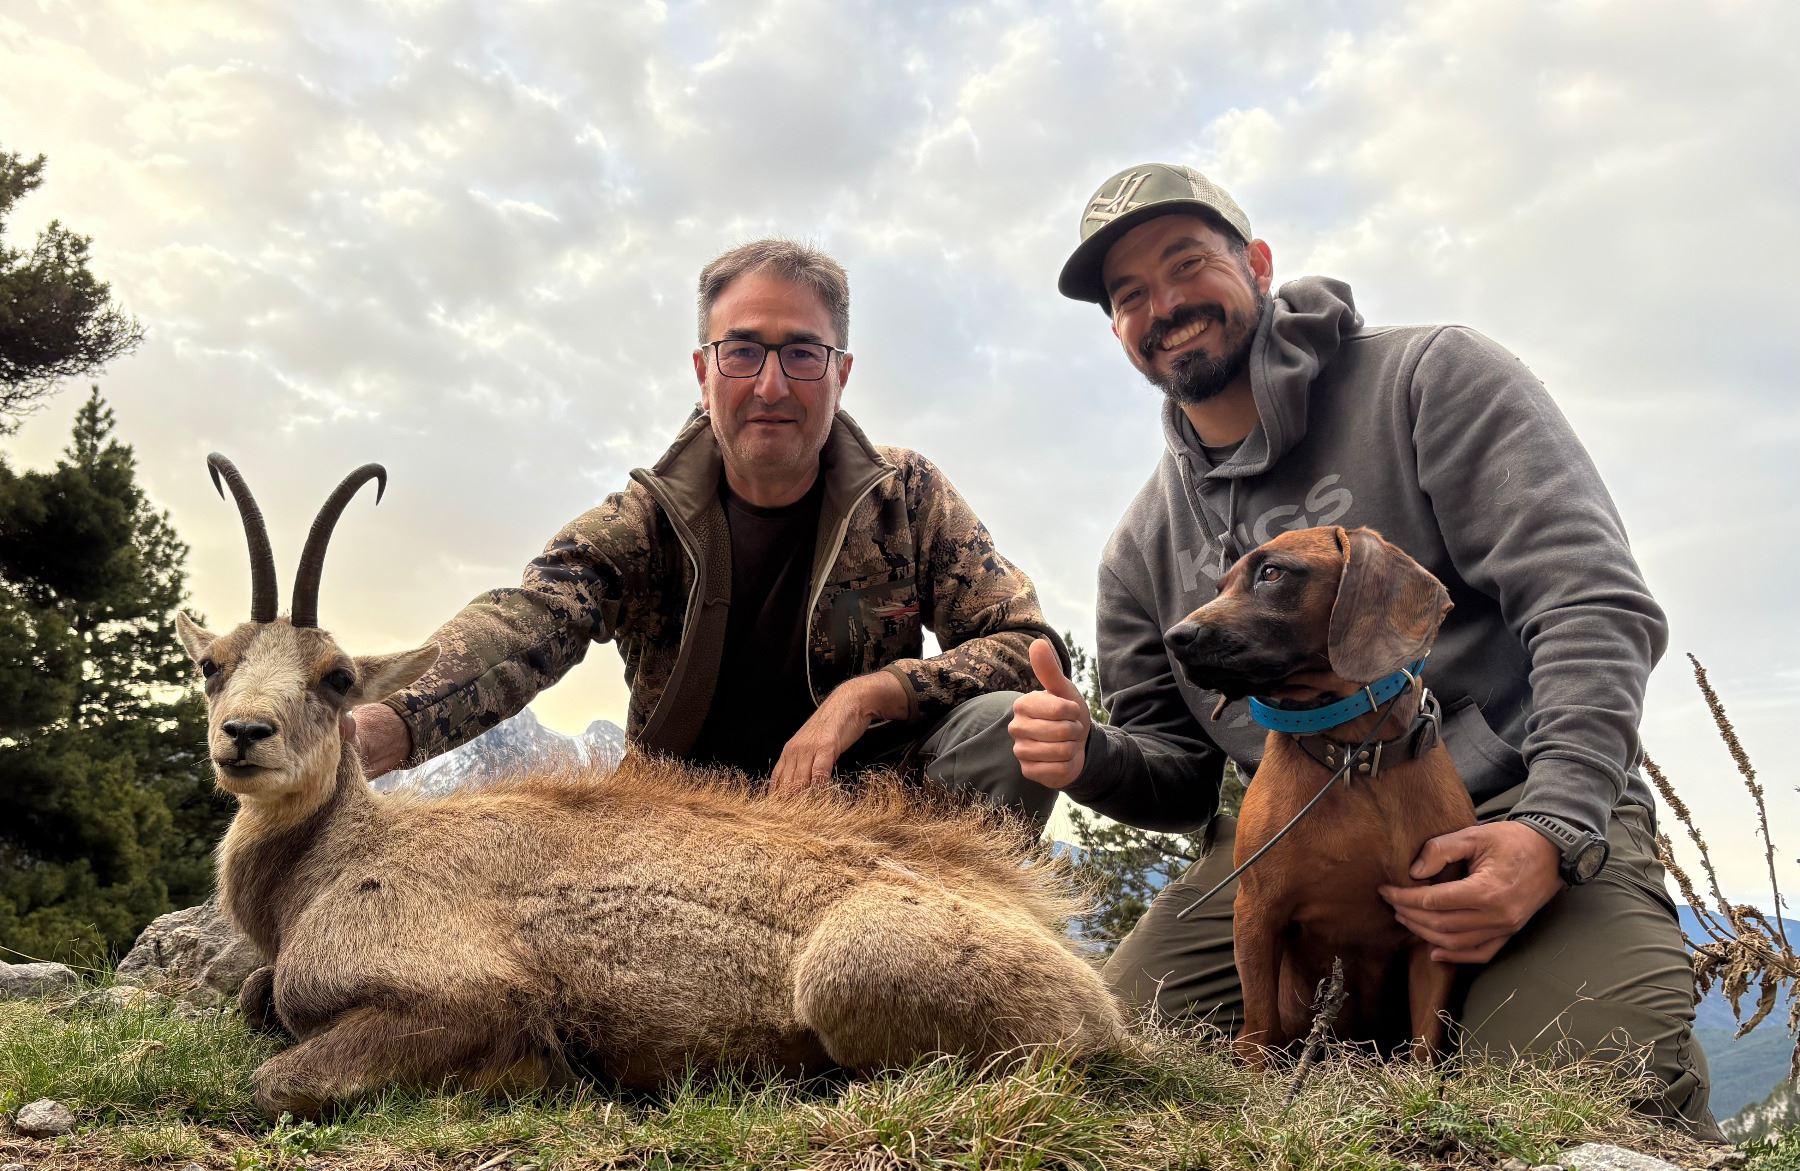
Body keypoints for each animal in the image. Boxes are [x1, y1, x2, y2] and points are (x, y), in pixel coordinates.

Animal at [1162, 525, 1476, 1063]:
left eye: (1272, 573)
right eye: (1219, 587)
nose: (1175, 638)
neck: (1353, 758)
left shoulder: (1435, 928)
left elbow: (1425, 1042)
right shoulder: (1257, 911)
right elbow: (1259, 1024)